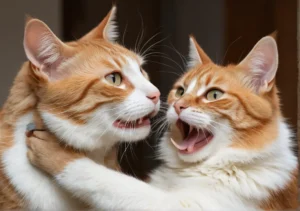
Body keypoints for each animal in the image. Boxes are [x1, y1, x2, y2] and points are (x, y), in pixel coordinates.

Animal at [26, 33, 298, 210]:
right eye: (180, 91)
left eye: (214, 95)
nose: (178, 106)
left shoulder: (181, 205)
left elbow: (109, 182)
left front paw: (56, 153)